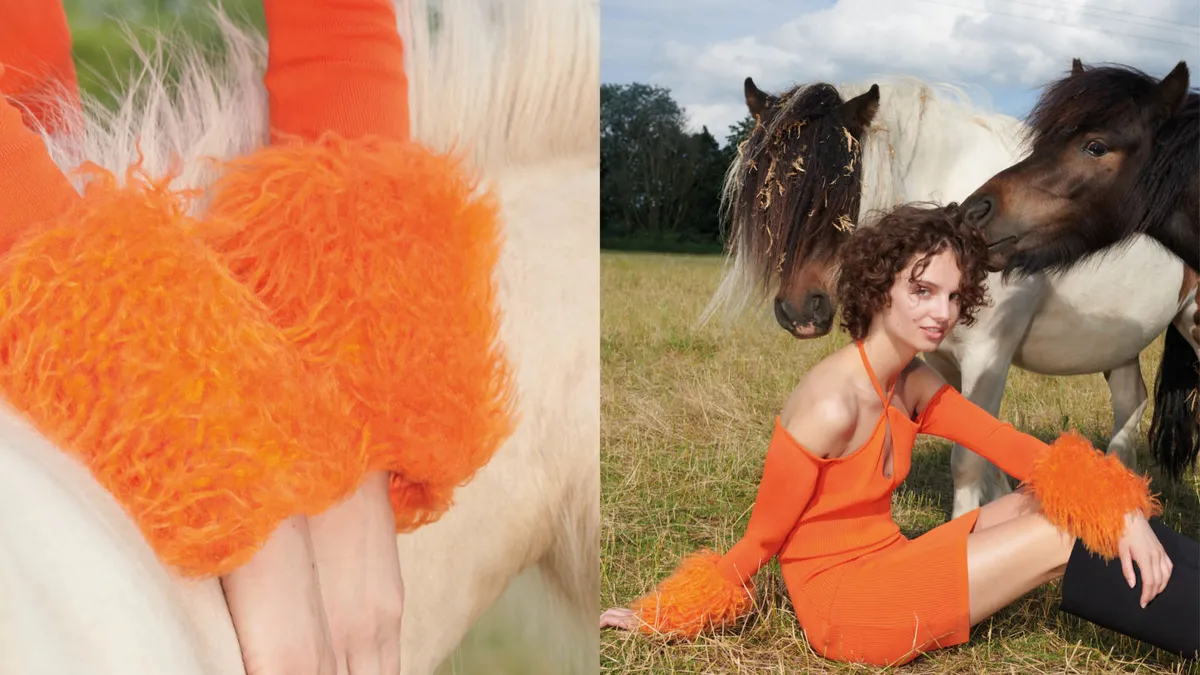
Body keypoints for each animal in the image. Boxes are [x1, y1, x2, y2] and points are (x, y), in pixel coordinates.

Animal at [705, 74, 1195, 514]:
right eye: (766, 201)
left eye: (839, 193)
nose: (799, 312)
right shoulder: (942, 357)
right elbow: (984, 443)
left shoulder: (988, 354)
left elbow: (967, 461)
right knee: (1131, 401)